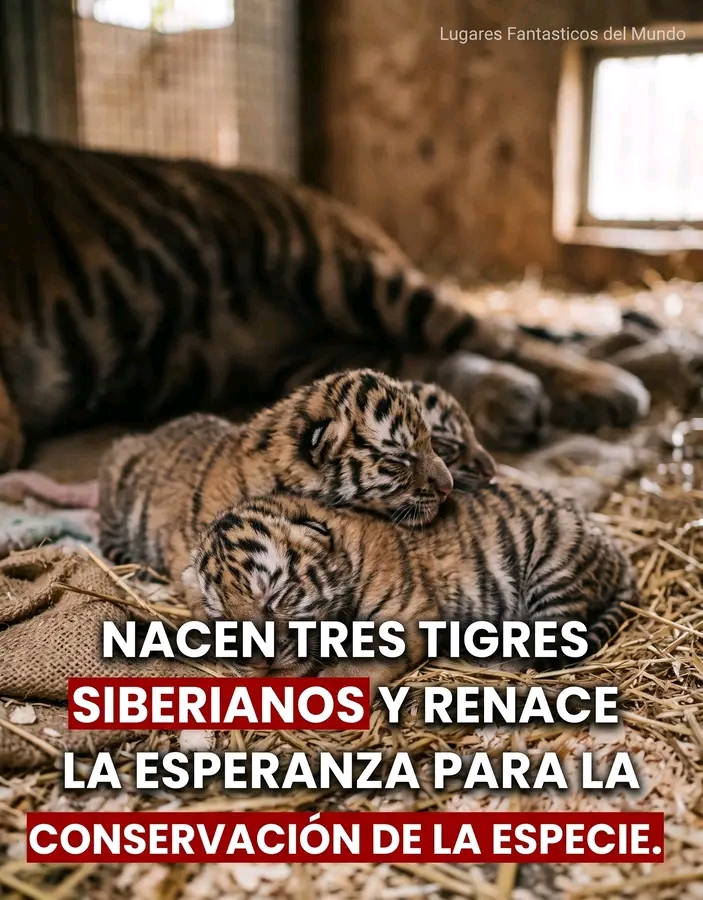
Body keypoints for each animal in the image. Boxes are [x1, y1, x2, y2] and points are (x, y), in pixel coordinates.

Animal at [0, 135, 651, 472]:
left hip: (344, 271)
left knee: (491, 332)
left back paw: (608, 387)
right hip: (300, 357)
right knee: (398, 372)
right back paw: (512, 399)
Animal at [183, 485, 637, 691]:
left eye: (277, 597)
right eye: (222, 617)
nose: (258, 663)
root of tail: (616, 548)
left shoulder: (404, 616)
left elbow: (359, 665)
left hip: (553, 562)